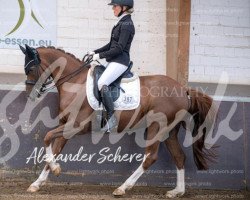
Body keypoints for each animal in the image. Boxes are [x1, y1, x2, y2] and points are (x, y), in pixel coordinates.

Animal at [19, 45, 216, 198]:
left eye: (30, 70)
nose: (29, 95)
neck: (75, 82)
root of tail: (183, 90)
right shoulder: (66, 126)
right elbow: (54, 149)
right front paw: (39, 182)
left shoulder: (76, 126)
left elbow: (47, 137)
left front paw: (54, 169)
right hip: (169, 131)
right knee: (179, 156)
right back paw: (177, 192)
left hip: (156, 127)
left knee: (150, 156)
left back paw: (122, 188)